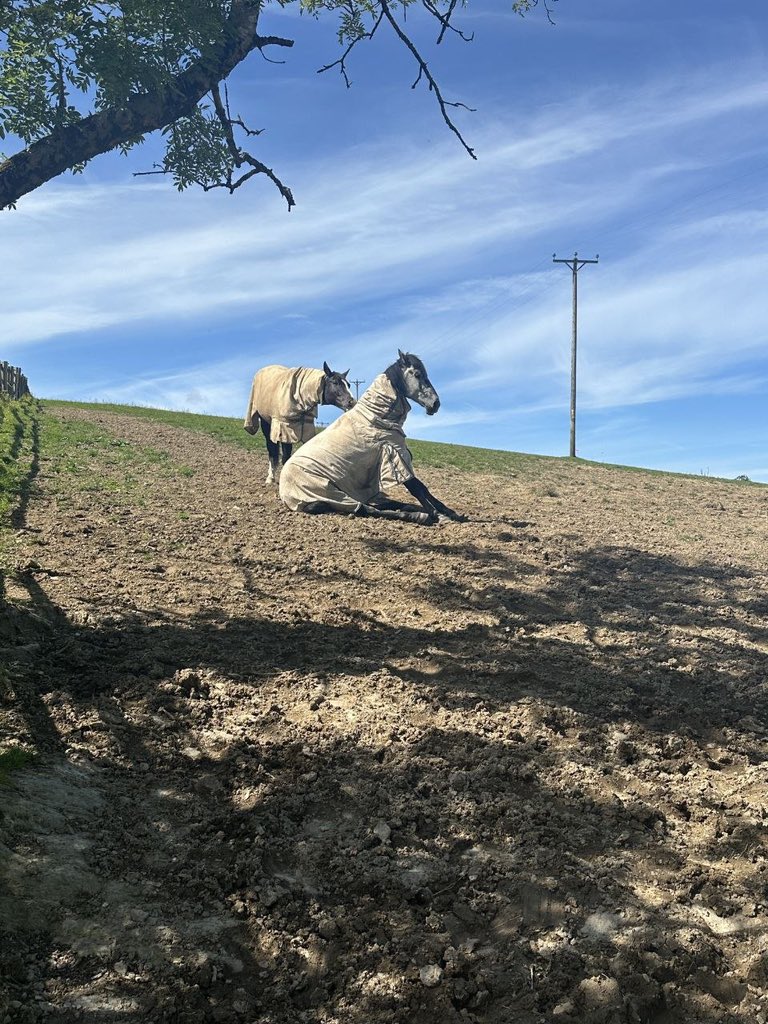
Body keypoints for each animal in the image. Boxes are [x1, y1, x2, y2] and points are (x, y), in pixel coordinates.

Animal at [278, 350, 465, 525]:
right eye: (418, 374)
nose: (435, 404)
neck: (374, 417)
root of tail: (285, 494)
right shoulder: (394, 456)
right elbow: (417, 489)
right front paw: (440, 515)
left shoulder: (398, 458)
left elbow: (422, 488)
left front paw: (452, 513)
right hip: (332, 494)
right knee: (365, 509)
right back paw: (419, 515)